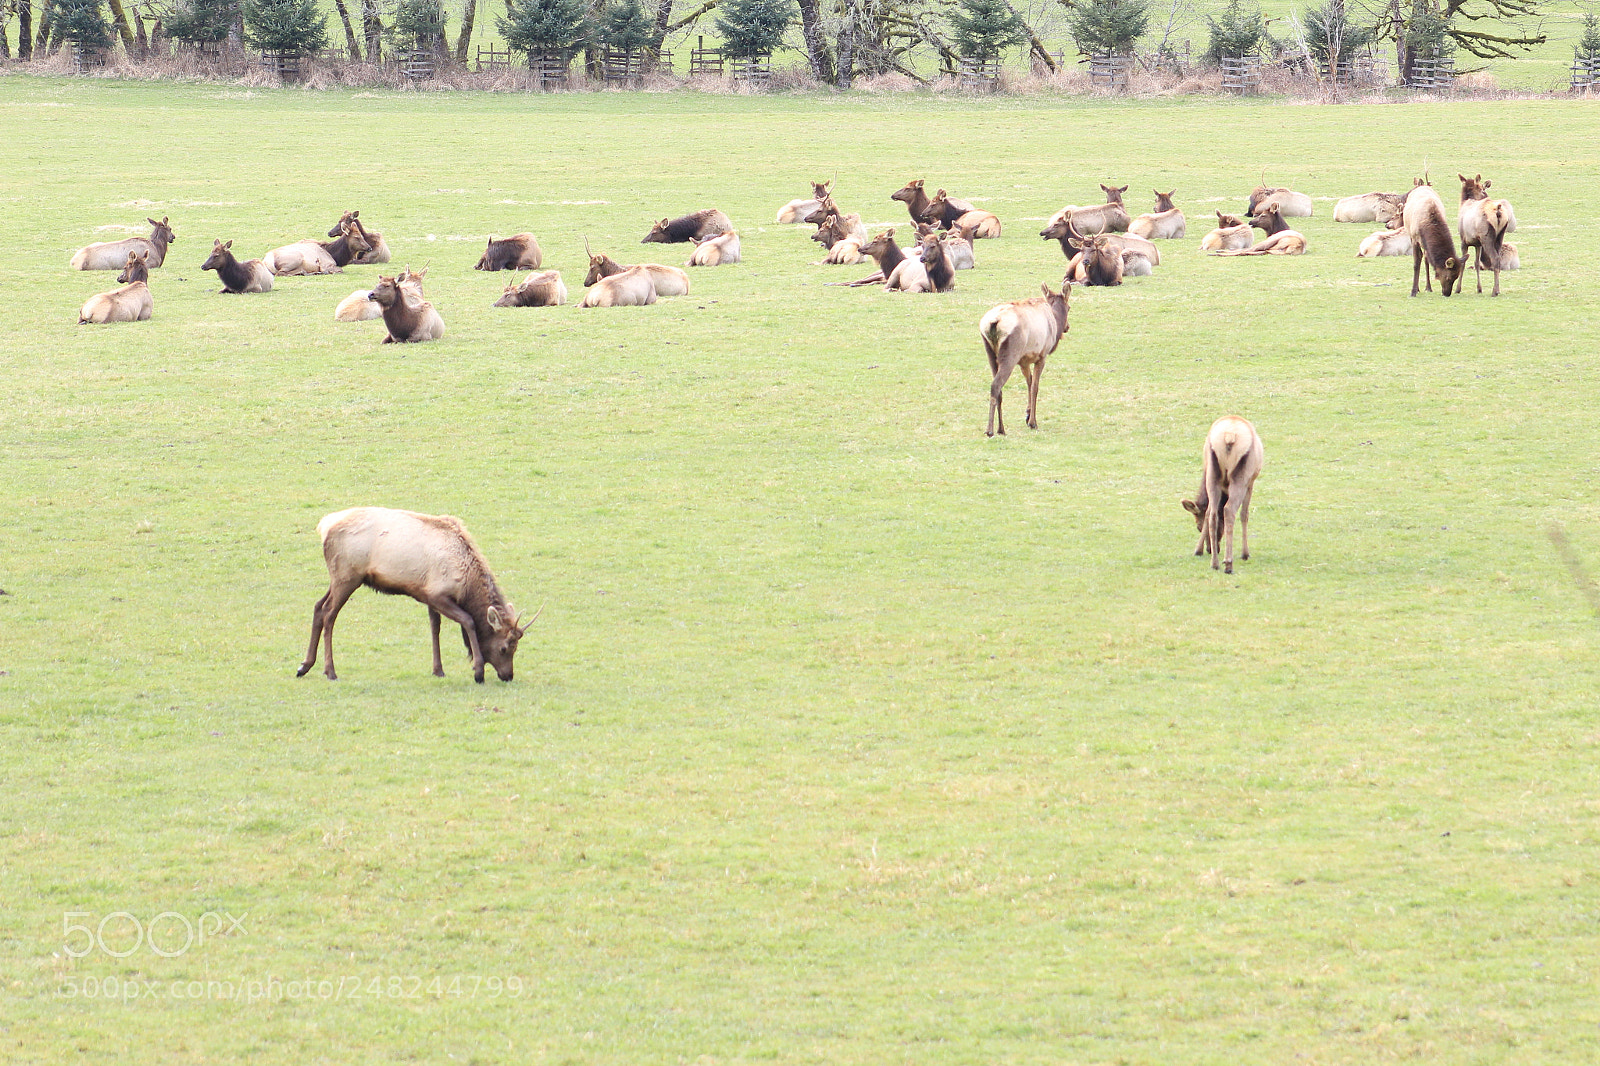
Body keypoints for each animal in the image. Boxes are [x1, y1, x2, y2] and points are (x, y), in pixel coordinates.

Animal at [296, 506, 536, 683]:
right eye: (504, 648)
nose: (508, 675)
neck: (466, 584)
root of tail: (324, 526)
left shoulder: (429, 596)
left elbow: (434, 628)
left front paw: (438, 670)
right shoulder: (439, 594)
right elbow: (468, 620)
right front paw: (478, 671)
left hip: (339, 578)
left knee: (318, 606)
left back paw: (304, 665)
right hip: (347, 577)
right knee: (329, 613)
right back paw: (330, 671)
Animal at [980, 279, 1070, 437]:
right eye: (1069, 307)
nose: (1067, 327)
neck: (1054, 321)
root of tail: (994, 322)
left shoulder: (1024, 361)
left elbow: (1029, 382)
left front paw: (1027, 414)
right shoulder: (1042, 356)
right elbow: (1035, 387)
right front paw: (1033, 422)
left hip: (990, 353)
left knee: (999, 388)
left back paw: (1001, 428)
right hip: (1010, 354)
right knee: (996, 385)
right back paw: (991, 430)